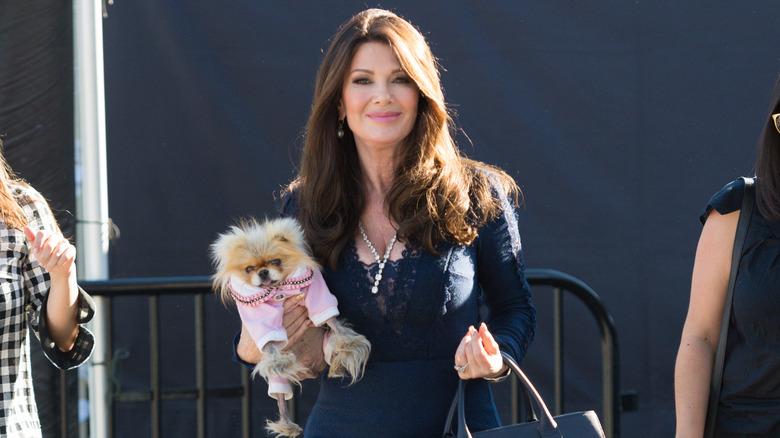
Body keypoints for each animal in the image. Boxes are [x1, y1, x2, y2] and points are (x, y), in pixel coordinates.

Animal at [210, 217, 372, 436]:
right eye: (249, 269)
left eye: (276, 262)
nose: (263, 272)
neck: (278, 288)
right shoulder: (261, 318)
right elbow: (270, 342)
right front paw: (277, 360)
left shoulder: (316, 293)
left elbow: (330, 319)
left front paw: (349, 341)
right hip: (278, 382)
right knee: (281, 401)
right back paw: (287, 425)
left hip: (328, 345)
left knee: (336, 350)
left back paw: (340, 361)